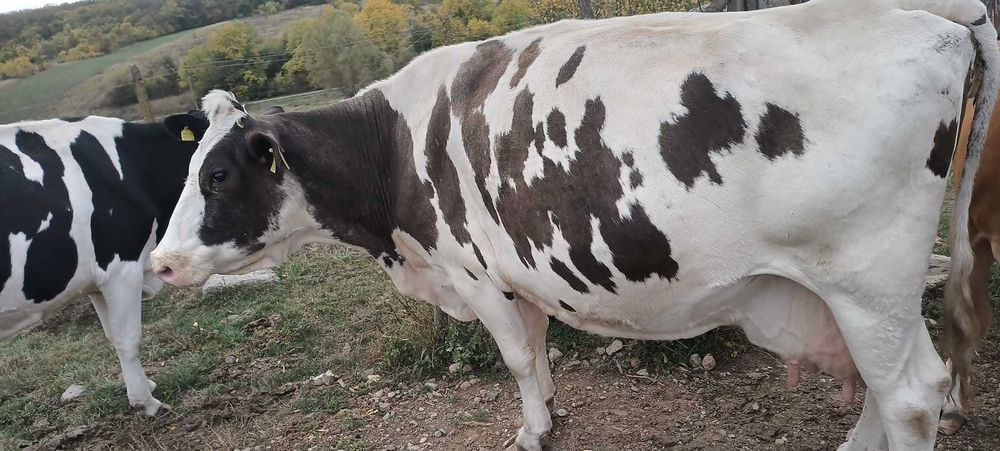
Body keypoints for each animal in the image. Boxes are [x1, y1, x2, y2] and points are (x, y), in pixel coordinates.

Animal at [0, 112, 209, 415]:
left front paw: (144, 385)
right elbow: (128, 339)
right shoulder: (121, 268)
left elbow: (112, 335)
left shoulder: (97, 282)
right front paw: (146, 402)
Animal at [150, 0, 999, 448]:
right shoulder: (518, 270)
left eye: (217, 175)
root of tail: (931, 16)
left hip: (866, 277)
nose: (159, 262)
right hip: (857, 292)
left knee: (913, 394)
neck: (393, 146)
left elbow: (515, 358)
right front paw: (550, 410)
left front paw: (531, 428)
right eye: (191, 167)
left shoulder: (475, 272)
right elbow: (537, 348)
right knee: (889, 387)